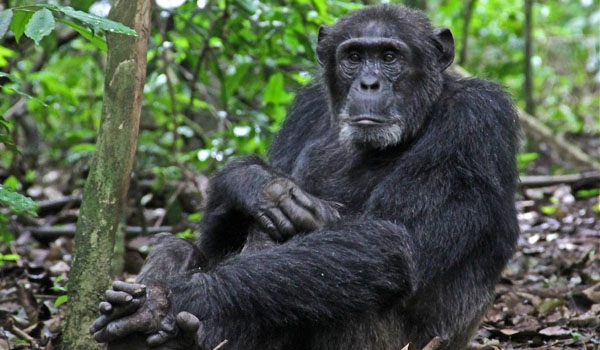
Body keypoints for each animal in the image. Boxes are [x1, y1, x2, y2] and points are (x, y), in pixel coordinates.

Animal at [89, 5, 520, 350]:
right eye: (354, 56)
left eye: (390, 56)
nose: (369, 83)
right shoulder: (306, 107)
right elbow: (215, 241)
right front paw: (254, 184)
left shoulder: (475, 122)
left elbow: (396, 240)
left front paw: (165, 300)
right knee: (179, 246)